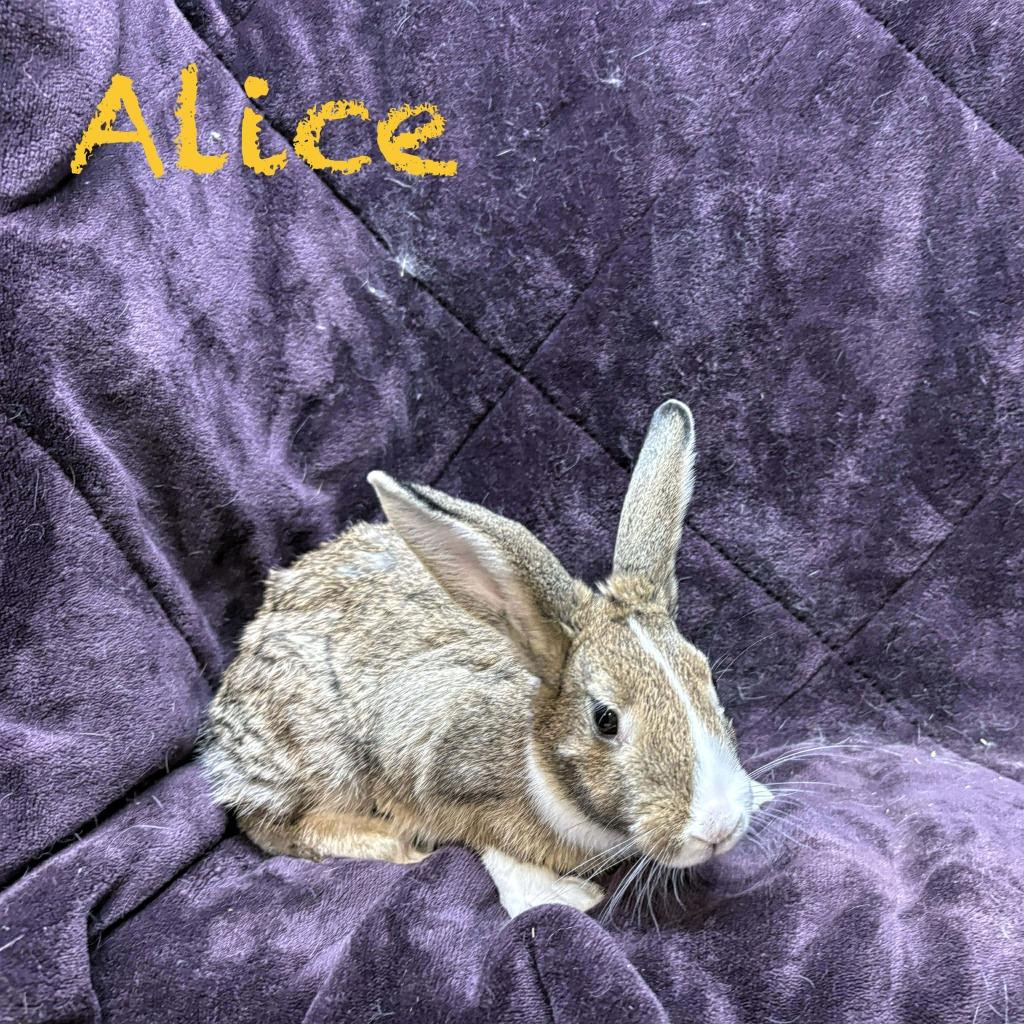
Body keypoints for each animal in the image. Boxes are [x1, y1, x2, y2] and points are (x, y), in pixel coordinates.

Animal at [201, 400, 772, 918]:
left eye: (707, 680)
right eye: (606, 720)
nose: (719, 826)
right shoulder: (444, 776)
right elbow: (494, 847)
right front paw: (563, 897)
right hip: (318, 755)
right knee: (273, 824)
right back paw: (390, 845)